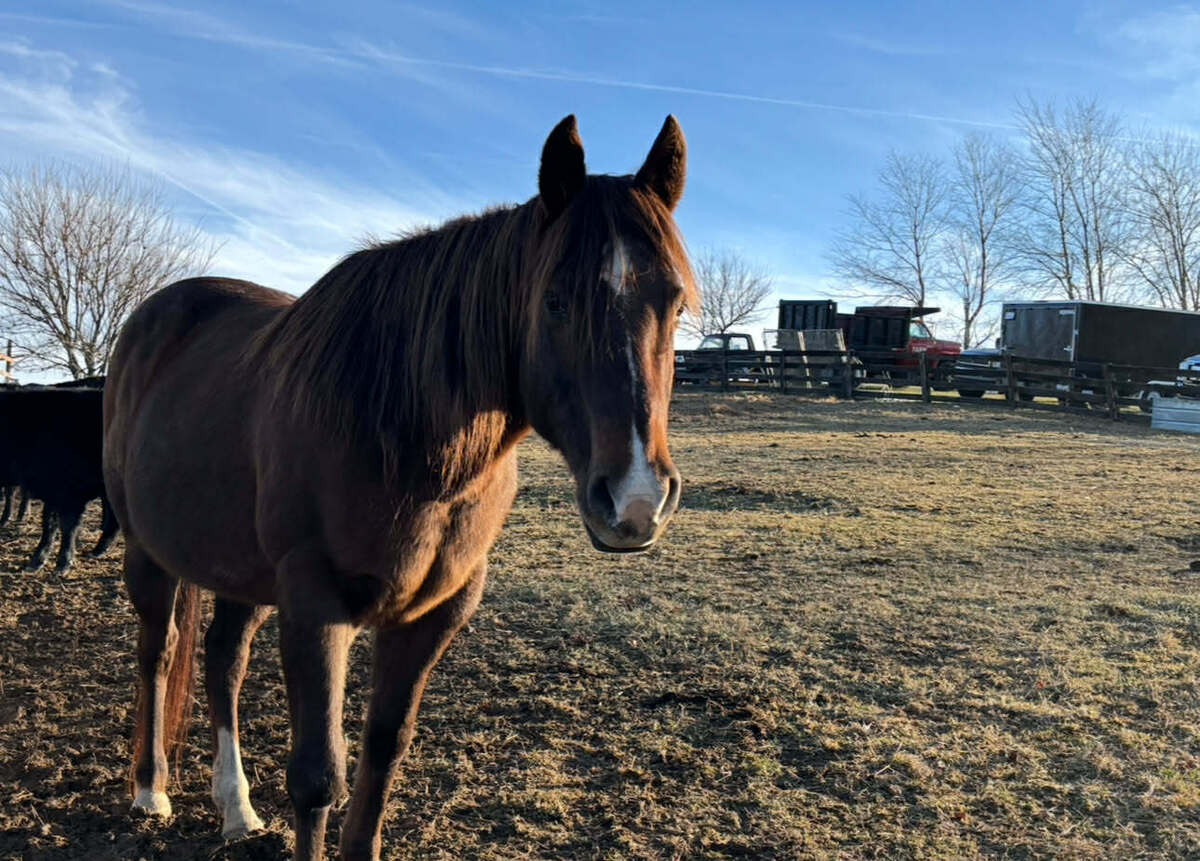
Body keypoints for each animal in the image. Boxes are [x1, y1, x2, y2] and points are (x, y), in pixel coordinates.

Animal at [103, 115, 694, 861]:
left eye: (675, 302)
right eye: (556, 301)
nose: (636, 499)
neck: (405, 438)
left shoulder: (434, 611)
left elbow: (384, 751)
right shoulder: (315, 603)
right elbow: (318, 777)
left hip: (241, 572)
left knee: (222, 660)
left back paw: (235, 808)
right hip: (148, 553)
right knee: (157, 650)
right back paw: (150, 790)